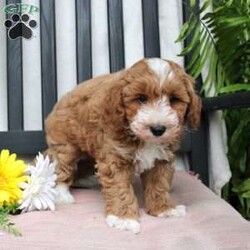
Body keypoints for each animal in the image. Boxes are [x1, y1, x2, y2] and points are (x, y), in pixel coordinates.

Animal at [45, 57, 201, 233]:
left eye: (174, 99)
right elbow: (120, 189)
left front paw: (164, 208)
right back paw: (61, 194)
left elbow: (159, 183)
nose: (158, 129)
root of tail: (64, 98)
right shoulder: (115, 158)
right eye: (141, 99)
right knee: (62, 166)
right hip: (66, 145)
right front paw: (124, 218)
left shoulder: (162, 159)